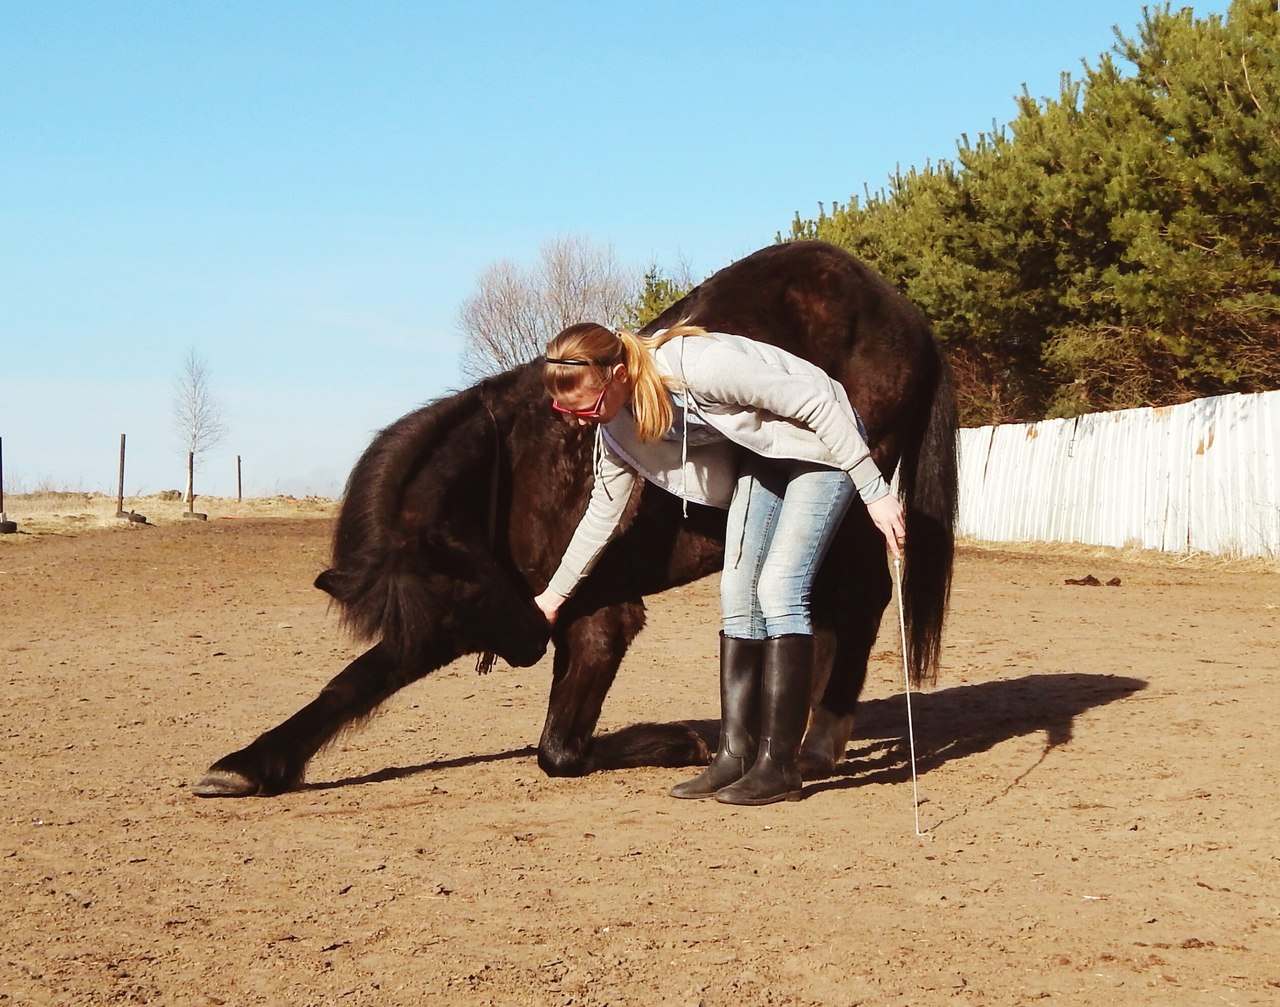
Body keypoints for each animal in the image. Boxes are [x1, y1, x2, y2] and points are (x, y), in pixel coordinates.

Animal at [194, 240, 957, 798]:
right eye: (458, 601)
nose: (531, 641)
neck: (521, 465)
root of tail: (902, 310)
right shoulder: (438, 621)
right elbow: (353, 682)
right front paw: (248, 764)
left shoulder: (599, 617)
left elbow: (558, 749)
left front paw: (682, 741)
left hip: (845, 491)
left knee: (859, 598)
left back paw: (817, 738)